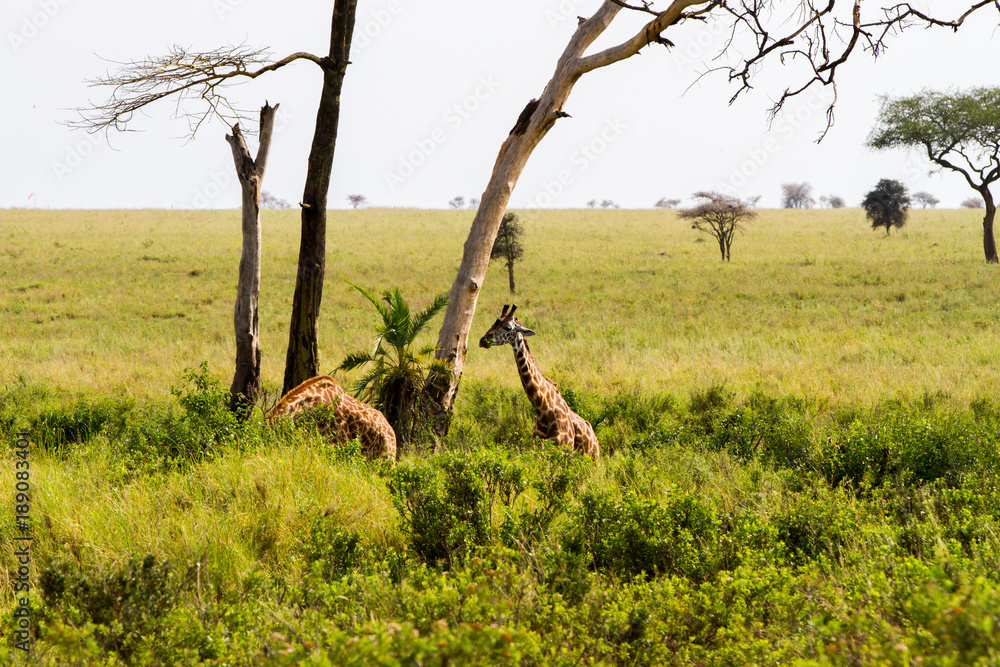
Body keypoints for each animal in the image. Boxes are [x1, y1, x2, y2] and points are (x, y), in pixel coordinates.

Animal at [479, 304, 600, 460]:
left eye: (508, 327)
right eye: (494, 322)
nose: (483, 340)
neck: (544, 411)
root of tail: (595, 438)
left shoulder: (563, 450)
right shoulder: (536, 449)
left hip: (593, 460)